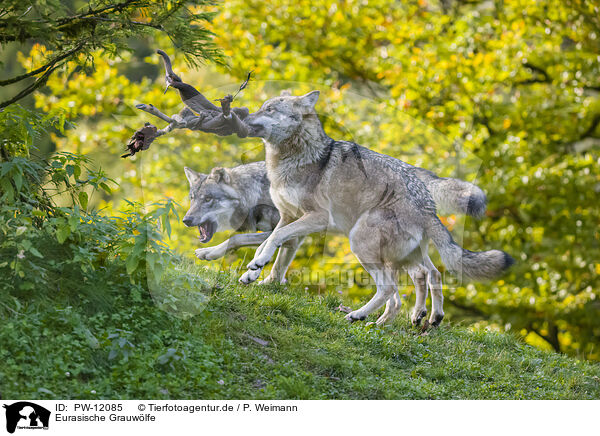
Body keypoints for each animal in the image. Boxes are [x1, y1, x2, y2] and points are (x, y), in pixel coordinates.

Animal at [234, 90, 510, 326]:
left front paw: (258, 267)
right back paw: (418, 318)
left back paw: (359, 315)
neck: (297, 155)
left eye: (269, 109)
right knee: (427, 275)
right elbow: (268, 243)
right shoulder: (288, 216)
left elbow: (275, 238)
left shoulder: (316, 218)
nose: (242, 115)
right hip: (402, 255)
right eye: (262, 107)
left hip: (360, 243)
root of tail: (426, 204)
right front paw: (254, 272)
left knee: (392, 287)